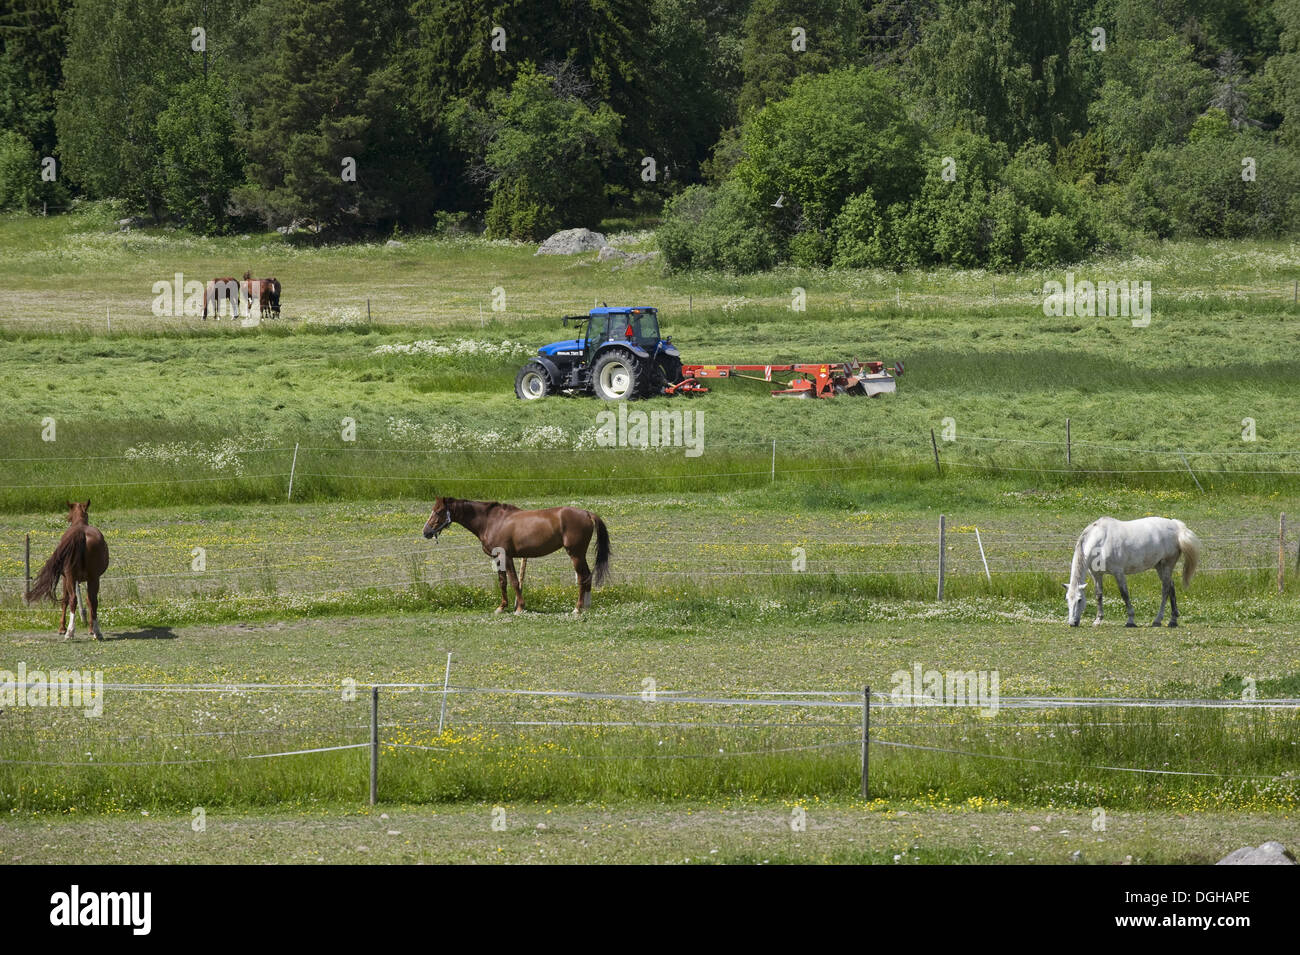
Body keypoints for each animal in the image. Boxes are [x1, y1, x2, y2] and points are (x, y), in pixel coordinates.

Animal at [26, 501, 111, 641]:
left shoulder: (66, 578)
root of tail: (81, 532)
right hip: (94, 578)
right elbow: (88, 601)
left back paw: (70, 632)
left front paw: (62, 628)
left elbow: (65, 600)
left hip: (71, 577)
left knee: (72, 600)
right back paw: (97, 632)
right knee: (93, 600)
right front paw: (91, 629)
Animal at [423, 496, 611, 615]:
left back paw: (577, 608)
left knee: (583, 577)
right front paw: (501, 607)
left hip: (575, 554)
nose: (426, 532)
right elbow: (502, 582)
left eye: (438, 511)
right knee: (587, 576)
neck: (491, 521)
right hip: (580, 555)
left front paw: (519, 608)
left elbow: (514, 582)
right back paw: (585, 606)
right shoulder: (498, 558)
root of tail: (587, 513)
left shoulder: (506, 556)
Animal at [1066, 519, 1196, 631]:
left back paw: (1157, 620)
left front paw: (1130, 621)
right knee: (1171, 587)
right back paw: (1173, 620)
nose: (1072, 623)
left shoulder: (1118, 573)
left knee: (1165, 589)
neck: (1101, 542)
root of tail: (1177, 526)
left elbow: (1124, 594)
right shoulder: (1096, 574)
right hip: (1160, 566)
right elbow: (1098, 595)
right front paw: (1098, 620)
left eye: (1079, 600)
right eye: (1067, 599)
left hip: (1167, 564)